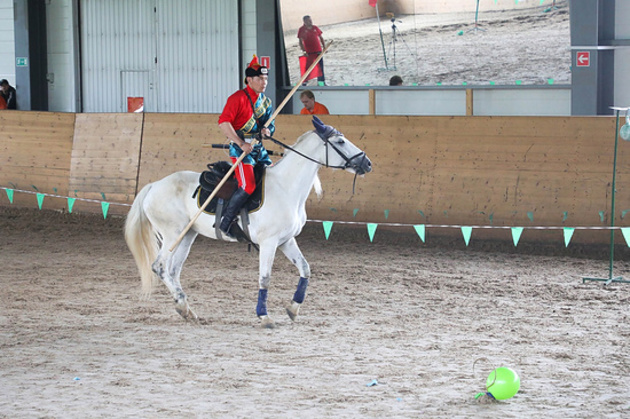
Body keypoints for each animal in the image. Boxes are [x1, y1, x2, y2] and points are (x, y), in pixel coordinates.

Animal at [125, 116, 372, 330]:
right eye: (340, 141)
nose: (367, 163)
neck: (286, 187)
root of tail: (153, 185)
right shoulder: (269, 243)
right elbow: (265, 278)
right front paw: (264, 316)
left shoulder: (286, 241)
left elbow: (305, 269)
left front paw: (293, 309)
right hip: (172, 234)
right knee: (159, 267)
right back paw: (182, 305)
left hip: (187, 235)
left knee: (173, 271)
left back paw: (185, 309)